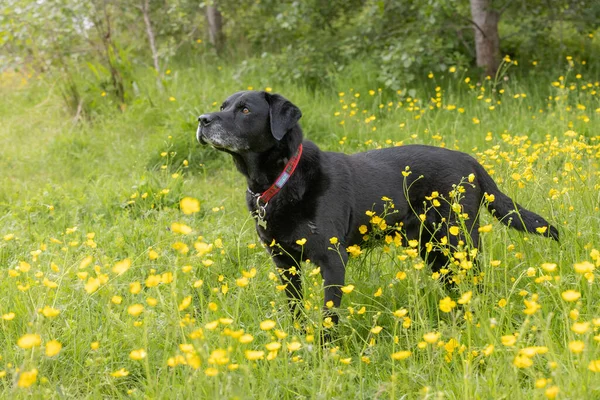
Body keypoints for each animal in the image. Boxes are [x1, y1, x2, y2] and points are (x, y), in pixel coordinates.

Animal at [197, 90, 556, 322]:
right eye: (223, 105)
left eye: (245, 110)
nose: (202, 119)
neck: (282, 179)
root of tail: (471, 161)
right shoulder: (285, 264)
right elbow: (296, 311)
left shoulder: (332, 260)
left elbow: (328, 315)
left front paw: (327, 355)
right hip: (430, 248)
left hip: (458, 241)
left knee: (476, 280)